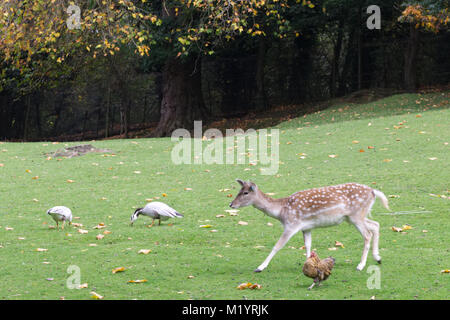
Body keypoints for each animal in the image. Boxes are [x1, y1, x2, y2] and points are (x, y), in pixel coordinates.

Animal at [230, 179, 388, 272]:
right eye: (238, 191)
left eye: (245, 192)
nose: (231, 204)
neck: (281, 211)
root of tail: (373, 192)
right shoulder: (306, 228)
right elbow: (308, 245)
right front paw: (310, 265)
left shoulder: (291, 225)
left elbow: (278, 246)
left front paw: (260, 267)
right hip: (354, 216)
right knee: (376, 224)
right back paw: (378, 258)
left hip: (356, 215)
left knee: (367, 234)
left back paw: (360, 265)